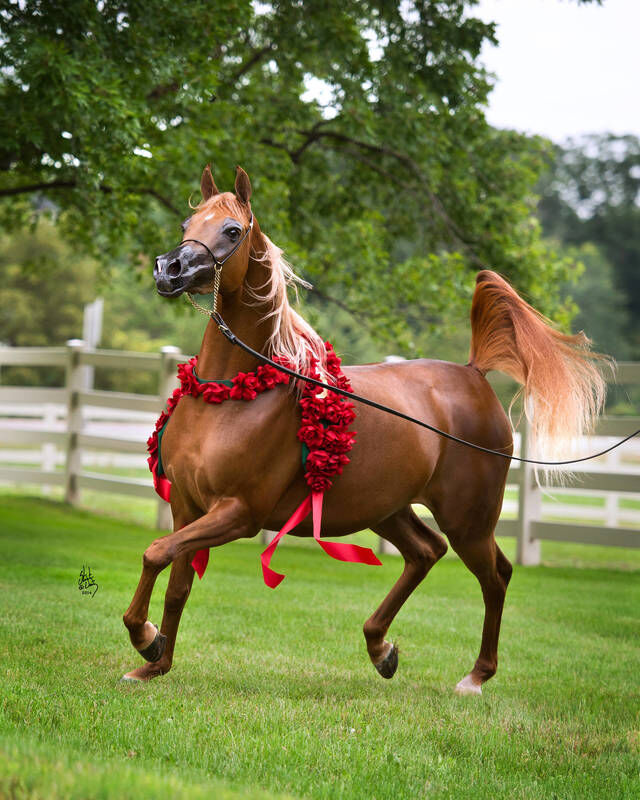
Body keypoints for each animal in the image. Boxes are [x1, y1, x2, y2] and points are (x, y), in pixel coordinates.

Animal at [122, 164, 608, 692]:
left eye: (232, 230)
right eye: (187, 224)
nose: (168, 269)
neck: (229, 395)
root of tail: (473, 373)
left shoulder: (238, 513)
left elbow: (154, 552)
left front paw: (144, 637)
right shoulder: (187, 508)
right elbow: (176, 583)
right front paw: (153, 661)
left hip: (469, 520)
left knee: (494, 575)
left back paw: (476, 676)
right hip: (387, 508)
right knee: (426, 552)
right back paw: (380, 648)